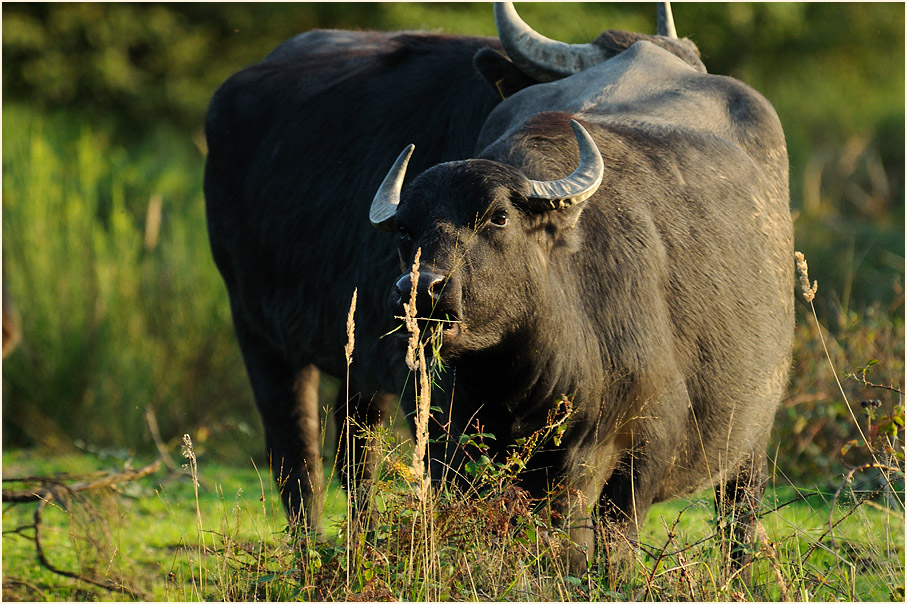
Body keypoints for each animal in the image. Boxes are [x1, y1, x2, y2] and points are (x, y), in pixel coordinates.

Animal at [370, 2, 796, 572]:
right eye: (404, 229)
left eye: (498, 217)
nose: (422, 287)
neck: (516, 381)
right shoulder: (450, 449)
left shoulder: (641, 451)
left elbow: (606, 551)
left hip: (751, 435)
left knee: (740, 513)